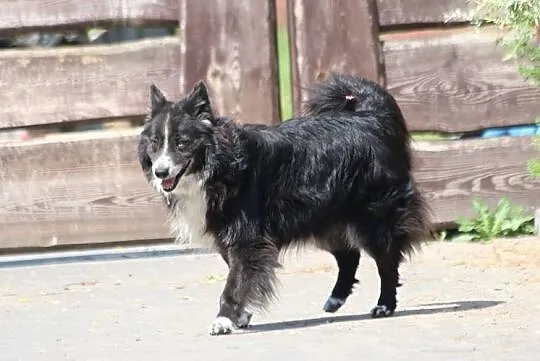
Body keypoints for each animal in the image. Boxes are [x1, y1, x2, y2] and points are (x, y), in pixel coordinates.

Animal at [137, 73, 432, 334]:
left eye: (182, 143)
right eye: (155, 143)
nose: (160, 172)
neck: (217, 164)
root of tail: (371, 118)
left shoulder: (247, 239)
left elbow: (234, 281)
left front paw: (223, 320)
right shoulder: (229, 238)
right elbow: (239, 275)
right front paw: (240, 315)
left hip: (374, 217)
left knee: (386, 260)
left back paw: (385, 305)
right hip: (325, 218)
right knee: (349, 256)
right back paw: (336, 298)